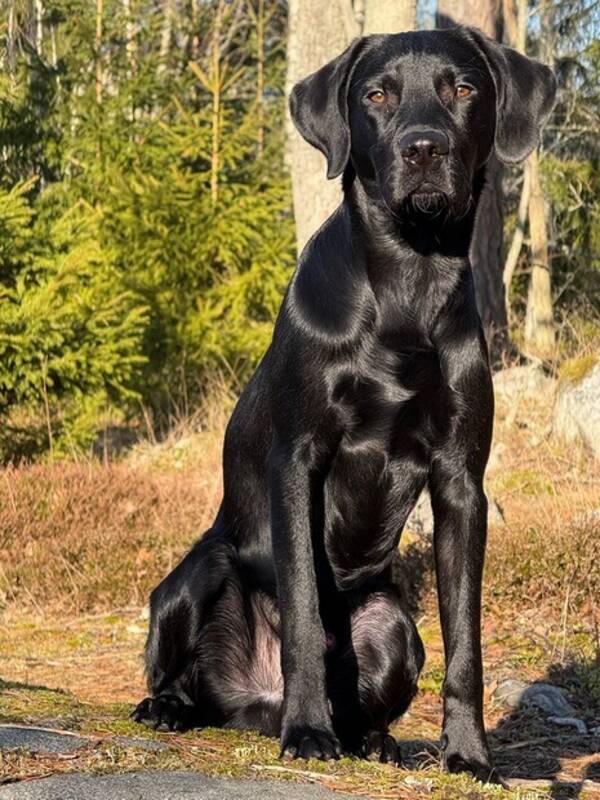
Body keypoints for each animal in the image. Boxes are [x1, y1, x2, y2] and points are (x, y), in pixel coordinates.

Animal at [134, 26, 556, 780]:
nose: (424, 148)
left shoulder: (461, 482)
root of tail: (257, 702)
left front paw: (469, 753)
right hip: (197, 576)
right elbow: (304, 611)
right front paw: (308, 733)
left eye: (463, 88)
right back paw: (180, 708)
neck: (410, 281)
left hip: (393, 626)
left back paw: (375, 740)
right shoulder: (298, 460)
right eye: (378, 95)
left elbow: (466, 640)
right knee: (183, 669)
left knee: (377, 683)